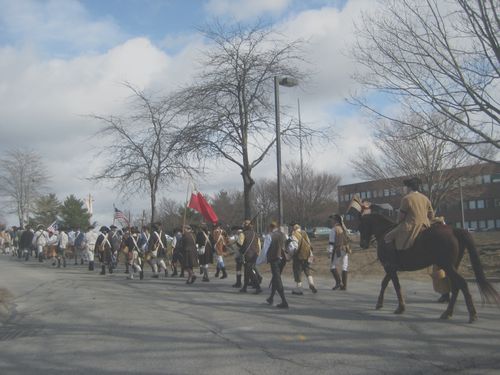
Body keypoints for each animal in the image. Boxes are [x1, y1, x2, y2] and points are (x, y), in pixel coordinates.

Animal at [358, 212, 498, 324]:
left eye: (361, 226)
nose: (362, 244)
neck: (385, 233)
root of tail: (454, 230)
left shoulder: (390, 267)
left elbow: (395, 285)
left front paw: (400, 307)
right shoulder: (391, 268)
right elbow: (385, 283)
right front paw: (380, 303)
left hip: (447, 266)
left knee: (462, 284)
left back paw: (472, 314)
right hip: (451, 267)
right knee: (455, 286)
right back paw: (448, 313)